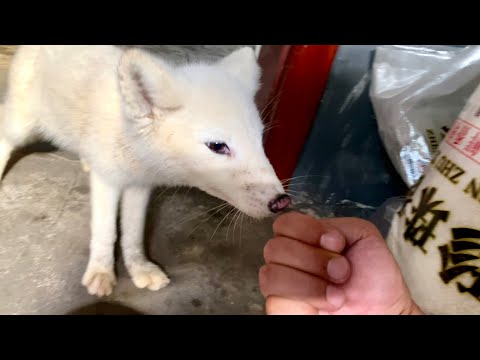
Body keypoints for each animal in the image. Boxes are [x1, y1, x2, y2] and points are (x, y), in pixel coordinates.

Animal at [0, 45, 288, 296]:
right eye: (217, 146)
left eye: (259, 140)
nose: (281, 202)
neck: (133, 144)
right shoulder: (108, 181)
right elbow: (105, 232)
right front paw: (101, 273)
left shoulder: (140, 186)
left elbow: (133, 235)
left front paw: (139, 268)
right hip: (21, 124)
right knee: (6, 136)